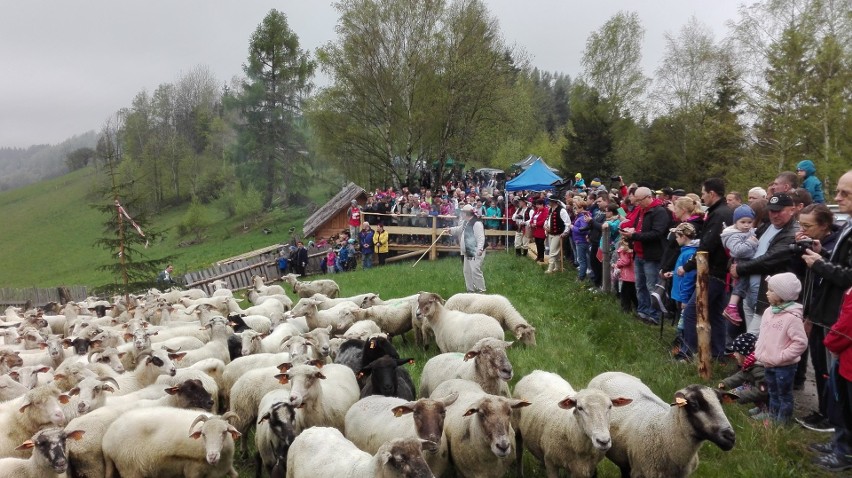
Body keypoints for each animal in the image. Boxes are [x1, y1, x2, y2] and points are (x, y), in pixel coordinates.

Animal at [101, 408, 240, 478]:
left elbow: (236, 474)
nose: (212, 457)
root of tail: (106, 442)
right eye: (203, 434)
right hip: (130, 469)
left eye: (224, 432)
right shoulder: (192, 469)